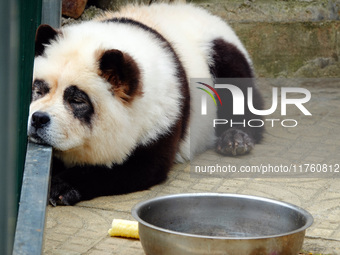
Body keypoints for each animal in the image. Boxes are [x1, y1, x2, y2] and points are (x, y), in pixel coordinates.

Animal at [27, 2, 264, 205]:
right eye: (38, 90)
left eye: (77, 100)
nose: (38, 119)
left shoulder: (164, 115)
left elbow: (139, 166)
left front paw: (62, 187)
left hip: (217, 53)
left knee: (239, 89)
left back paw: (235, 138)